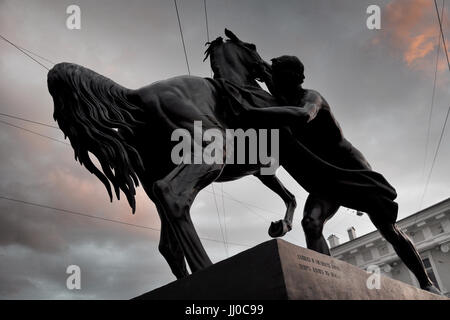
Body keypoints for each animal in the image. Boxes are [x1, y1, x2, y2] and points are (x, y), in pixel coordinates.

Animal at [48, 28, 296, 278]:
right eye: (252, 46)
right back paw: (206, 267)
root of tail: (137, 94)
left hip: (153, 184)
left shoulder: (261, 170)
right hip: (212, 153)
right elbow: (292, 194)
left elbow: (289, 196)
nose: (268, 70)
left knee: (168, 244)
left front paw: (280, 226)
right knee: (172, 195)